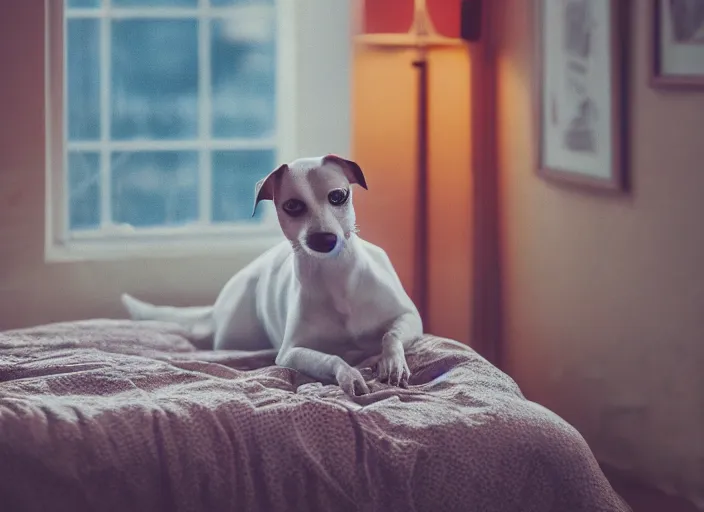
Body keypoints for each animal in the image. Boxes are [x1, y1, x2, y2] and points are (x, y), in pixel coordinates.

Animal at [119, 154, 424, 394]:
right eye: (292, 206)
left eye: (338, 196)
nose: (324, 239)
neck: (335, 276)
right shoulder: (292, 353)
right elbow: (332, 359)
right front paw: (349, 374)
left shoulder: (409, 317)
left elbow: (390, 335)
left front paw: (392, 363)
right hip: (236, 337)